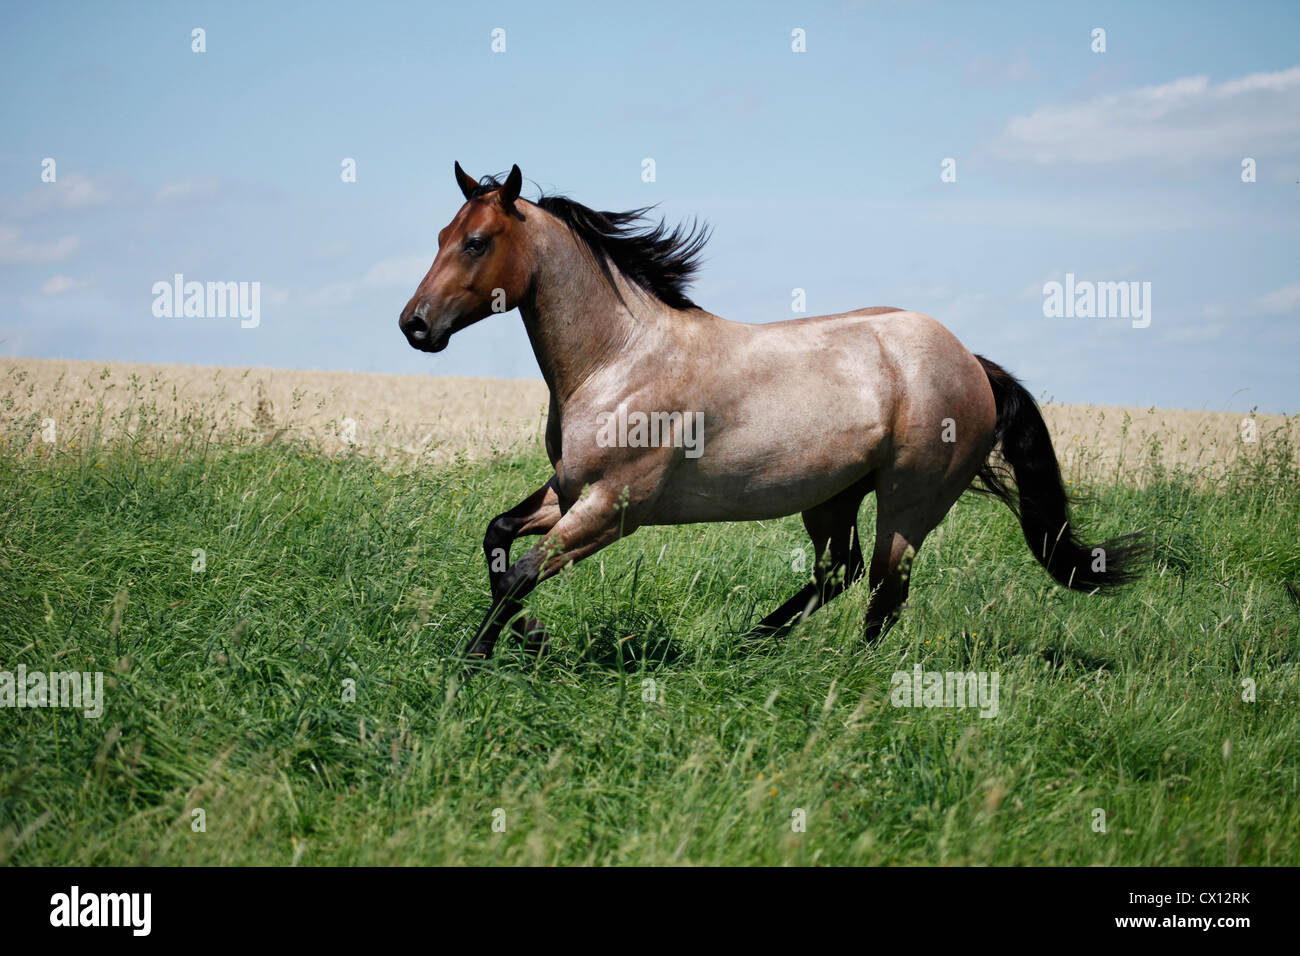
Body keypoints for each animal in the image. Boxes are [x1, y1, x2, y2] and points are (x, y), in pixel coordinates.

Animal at [399, 163, 1145, 661]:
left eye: (476, 241)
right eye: (438, 234)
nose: (415, 325)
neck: (621, 359)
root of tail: (971, 363)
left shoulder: (616, 506)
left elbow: (523, 572)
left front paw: (477, 658)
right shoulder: (570, 487)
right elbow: (498, 537)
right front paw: (526, 635)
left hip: (910, 501)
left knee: (885, 589)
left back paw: (848, 674)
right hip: (835, 497)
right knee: (838, 573)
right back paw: (750, 642)